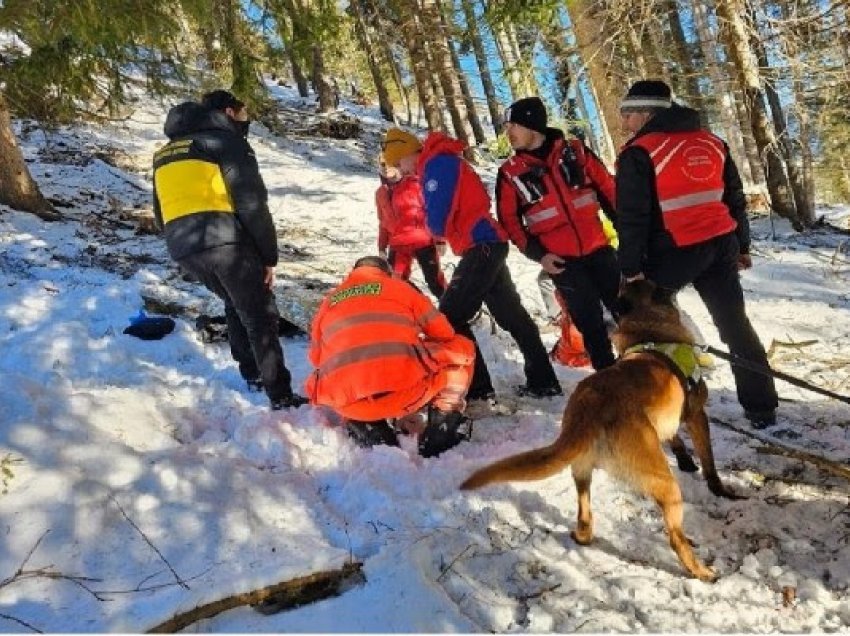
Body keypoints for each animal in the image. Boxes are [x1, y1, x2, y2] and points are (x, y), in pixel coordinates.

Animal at [460, 282, 740, 580]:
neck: (649, 328)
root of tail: (589, 407)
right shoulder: (697, 416)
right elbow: (709, 463)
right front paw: (719, 489)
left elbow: (675, 438)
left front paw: (685, 459)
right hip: (665, 483)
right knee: (675, 538)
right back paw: (702, 571)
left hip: (581, 471)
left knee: (585, 520)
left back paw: (582, 535)